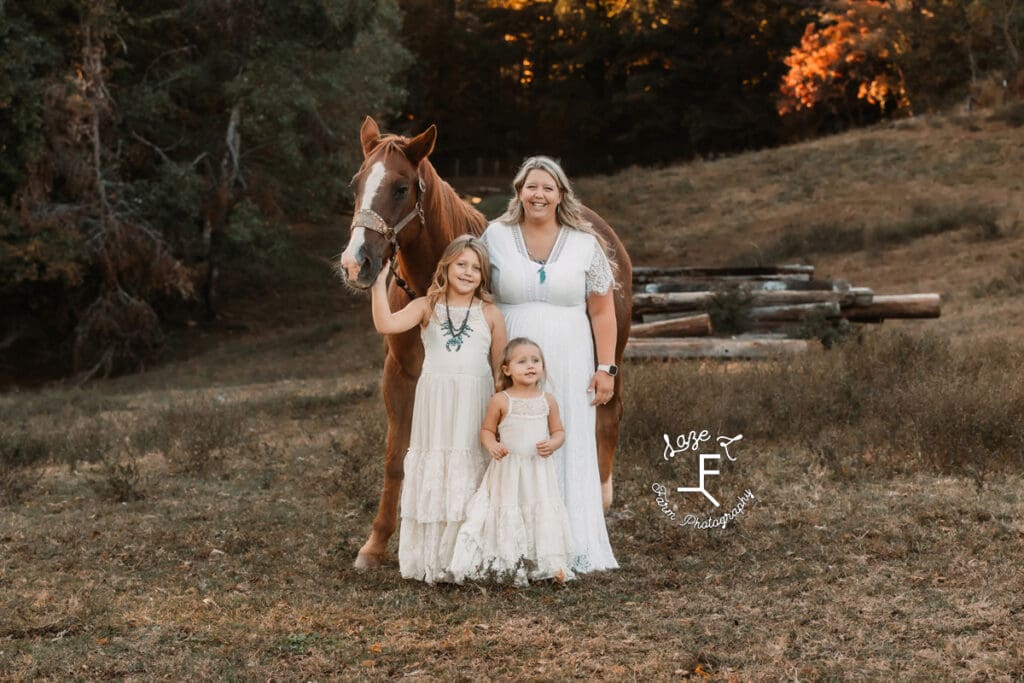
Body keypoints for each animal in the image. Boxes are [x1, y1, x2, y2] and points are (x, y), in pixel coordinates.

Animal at [342, 118, 630, 573]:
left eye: (401, 188)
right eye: (356, 185)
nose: (356, 263)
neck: (436, 287)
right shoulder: (399, 376)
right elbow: (394, 460)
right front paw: (375, 544)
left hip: (610, 357)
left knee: (608, 415)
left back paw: (599, 504)